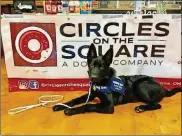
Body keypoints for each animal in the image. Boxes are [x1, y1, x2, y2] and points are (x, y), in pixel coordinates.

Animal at [52, 43, 181, 116]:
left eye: (102, 67)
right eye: (92, 65)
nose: (93, 77)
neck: (101, 83)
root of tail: (163, 88)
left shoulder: (108, 107)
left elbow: (88, 106)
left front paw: (71, 110)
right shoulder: (91, 94)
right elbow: (75, 99)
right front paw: (61, 105)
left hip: (140, 84)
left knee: (157, 104)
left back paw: (141, 107)